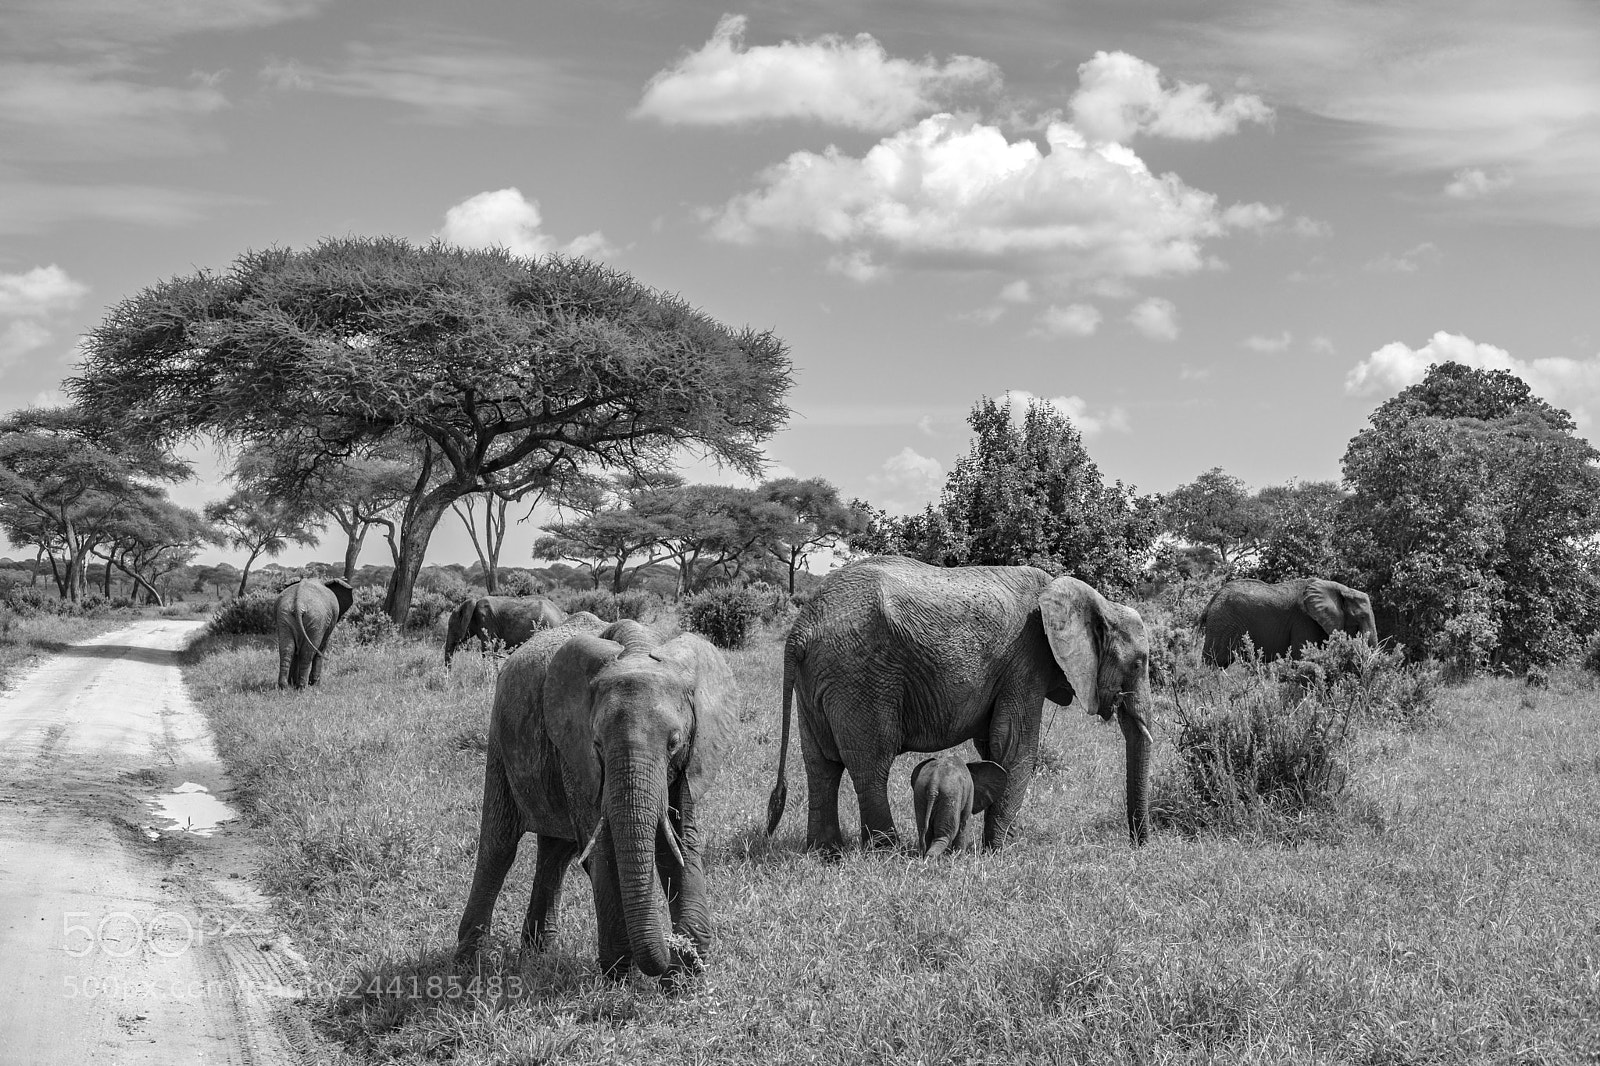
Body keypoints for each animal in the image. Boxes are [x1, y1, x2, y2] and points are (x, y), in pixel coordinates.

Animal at [455, 617, 736, 982]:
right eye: (598, 744)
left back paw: (536, 956)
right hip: (501, 735)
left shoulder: (693, 758)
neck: (637, 648)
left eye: (674, 743)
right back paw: (467, 966)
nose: (672, 948)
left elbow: (680, 841)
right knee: (499, 845)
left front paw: (684, 976)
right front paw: (621, 980)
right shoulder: (577, 750)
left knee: (555, 853)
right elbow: (605, 850)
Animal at [766, 555, 1153, 853]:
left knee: (820, 764)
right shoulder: (1025, 661)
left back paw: (826, 852)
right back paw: (886, 852)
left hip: (818, 680)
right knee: (870, 764)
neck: (1090, 598)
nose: (1139, 846)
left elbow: (993, 746)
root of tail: (800, 629)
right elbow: (1015, 746)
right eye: (1138, 664)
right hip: (859, 676)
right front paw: (1002, 852)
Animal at [1198, 578, 1377, 666]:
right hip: (1222, 623)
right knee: (1214, 662)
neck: (1341, 589)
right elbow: (1303, 658)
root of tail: (1213, 599)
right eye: (1361, 617)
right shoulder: (1304, 620)